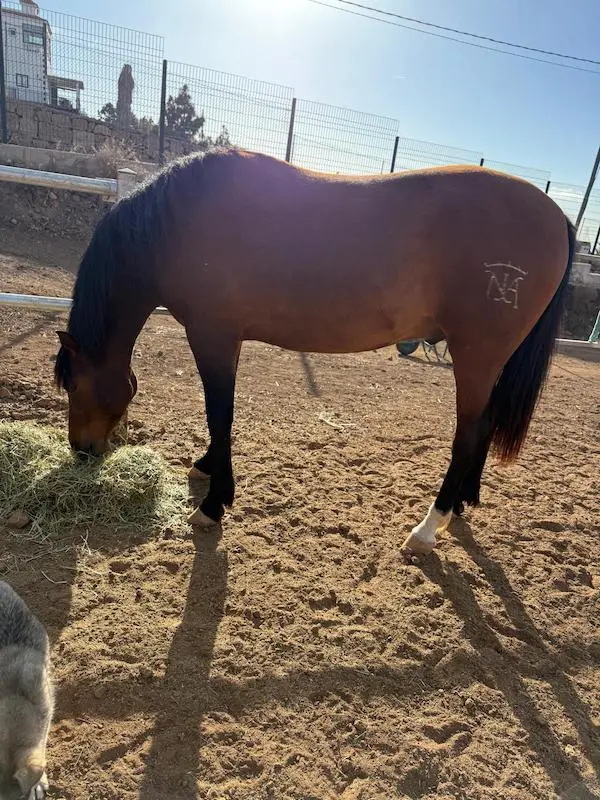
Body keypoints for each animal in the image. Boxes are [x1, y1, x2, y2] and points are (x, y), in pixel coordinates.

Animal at [54, 148, 575, 556]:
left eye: (75, 384)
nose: (81, 451)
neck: (180, 224)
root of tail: (557, 216)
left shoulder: (212, 336)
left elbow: (219, 414)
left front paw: (214, 503)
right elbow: (220, 417)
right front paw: (207, 469)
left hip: (475, 356)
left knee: (468, 436)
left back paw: (429, 527)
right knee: (485, 427)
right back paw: (464, 504)